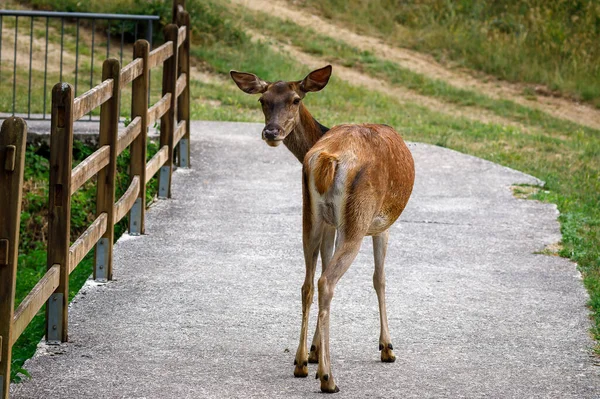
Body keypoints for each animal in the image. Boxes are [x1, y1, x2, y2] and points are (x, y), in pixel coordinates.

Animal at [231, 65, 418, 394]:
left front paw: (314, 351)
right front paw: (387, 347)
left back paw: (301, 364)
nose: (271, 132)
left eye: (294, 99)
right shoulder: (381, 225)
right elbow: (380, 279)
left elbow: (323, 266)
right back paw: (329, 378)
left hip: (310, 214)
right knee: (327, 282)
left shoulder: (331, 224)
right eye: (263, 100)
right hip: (358, 218)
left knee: (308, 282)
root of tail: (328, 159)